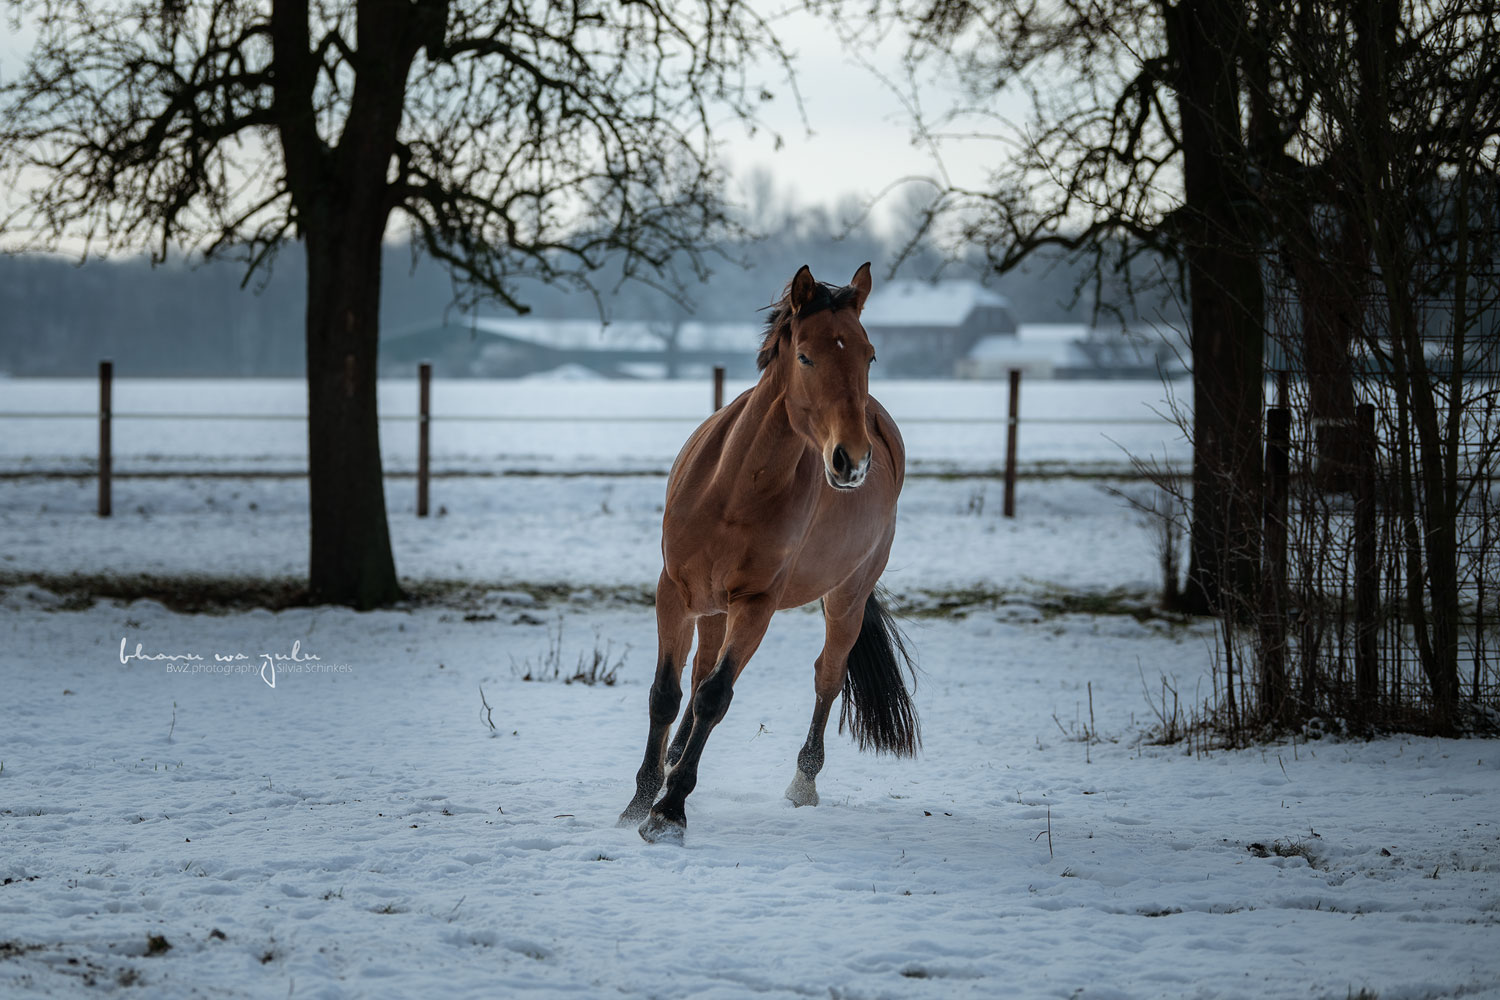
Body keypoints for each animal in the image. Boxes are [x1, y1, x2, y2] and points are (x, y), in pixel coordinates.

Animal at [618, 265, 918, 845]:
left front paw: (669, 811)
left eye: (868, 355)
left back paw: (803, 784)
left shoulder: (756, 604)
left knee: (826, 676)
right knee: (698, 671)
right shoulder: (675, 592)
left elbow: (716, 697)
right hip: (712, 606)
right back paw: (673, 755)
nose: (851, 460)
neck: (735, 490)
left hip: (845, 598)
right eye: (805, 355)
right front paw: (640, 800)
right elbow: (667, 692)